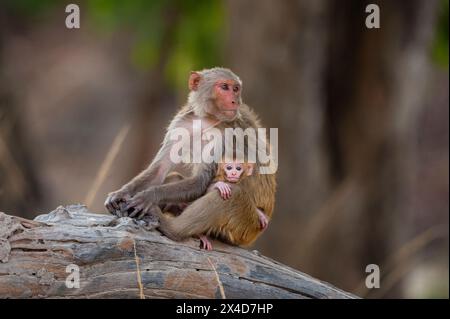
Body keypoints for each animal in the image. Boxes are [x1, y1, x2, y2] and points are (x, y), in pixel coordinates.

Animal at [104, 68, 278, 248]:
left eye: (236, 89)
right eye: (224, 87)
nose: (235, 101)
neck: (207, 119)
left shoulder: (225, 135)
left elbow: (201, 180)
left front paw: (149, 196)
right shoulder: (183, 121)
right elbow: (160, 170)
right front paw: (120, 194)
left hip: (245, 226)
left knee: (232, 194)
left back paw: (170, 226)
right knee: (175, 178)